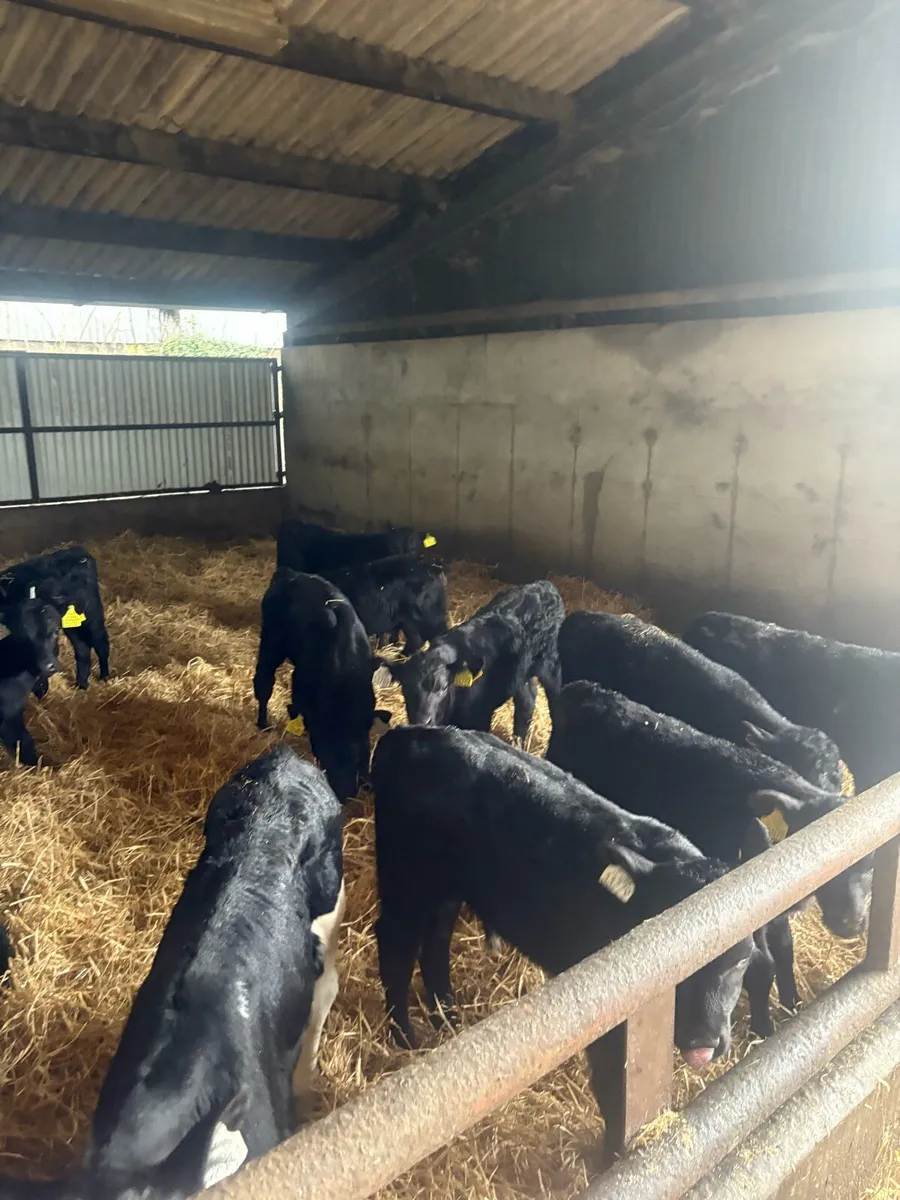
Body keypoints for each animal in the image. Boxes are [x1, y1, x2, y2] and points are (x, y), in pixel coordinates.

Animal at [0, 548, 109, 693]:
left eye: (55, 631)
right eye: (22, 637)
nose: (48, 666)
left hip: (92, 613)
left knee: (100, 643)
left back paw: (104, 676)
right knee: (82, 649)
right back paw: (81, 684)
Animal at [253, 568, 386, 802]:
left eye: (361, 745)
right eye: (325, 745)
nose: (346, 792)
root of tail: (292, 574)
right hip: (271, 642)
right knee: (263, 681)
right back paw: (263, 723)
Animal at [371, 725, 754, 1158]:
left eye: (742, 958)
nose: (702, 1041)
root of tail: (407, 734)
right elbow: (613, 1090)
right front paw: (612, 1158)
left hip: (447, 887)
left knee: (435, 940)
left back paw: (448, 1019)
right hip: (405, 877)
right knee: (396, 943)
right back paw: (403, 1034)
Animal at [380, 580, 564, 742]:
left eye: (444, 688)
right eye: (405, 687)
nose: (422, 720)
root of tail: (546, 585)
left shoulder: (479, 717)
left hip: (552, 665)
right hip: (521, 673)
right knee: (527, 698)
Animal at [546, 683, 872, 1031]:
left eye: (870, 863)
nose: (852, 922)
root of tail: (584, 689)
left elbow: (781, 951)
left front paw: (791, 1005)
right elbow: (758, 963)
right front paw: (763, 1026)